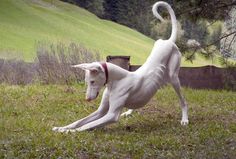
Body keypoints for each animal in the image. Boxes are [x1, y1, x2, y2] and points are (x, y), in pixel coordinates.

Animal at [53, 1, 188, 133]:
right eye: (87, 82)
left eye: (92, 81)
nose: (87, 99)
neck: (116, 81)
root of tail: (168, 41)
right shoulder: (100, 111)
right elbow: (79, 122)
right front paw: (62, 128)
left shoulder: (111, 115)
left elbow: (85, 126)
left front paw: (69, 132)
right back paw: (129, 112)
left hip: (174, 78)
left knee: (183, 101)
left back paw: (185, 119)